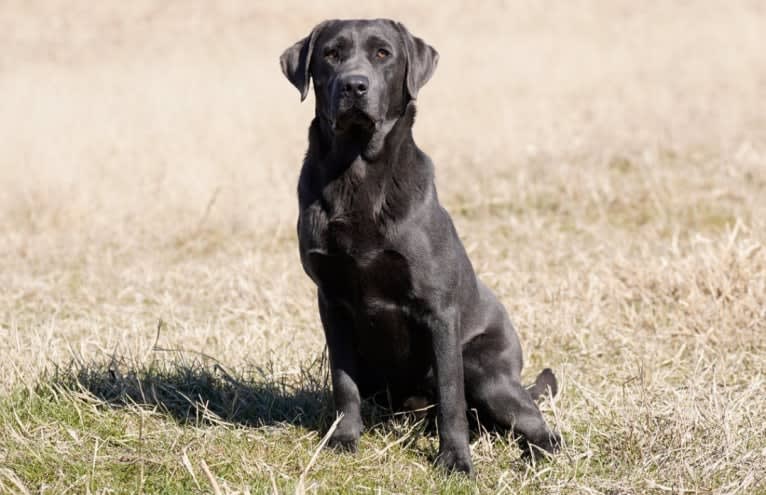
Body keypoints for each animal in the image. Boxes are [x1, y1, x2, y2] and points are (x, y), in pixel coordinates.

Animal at [280, 19, 560, 476]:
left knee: (538, 424)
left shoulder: (438, 310)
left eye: (383, 54)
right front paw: (343, 439)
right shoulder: (331, 302)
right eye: (330, 55)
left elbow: (450, 396)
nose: (354, 86)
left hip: (486, 371)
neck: (358, 175)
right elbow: (344, 382)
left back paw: (535, 455)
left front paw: (456, 460)